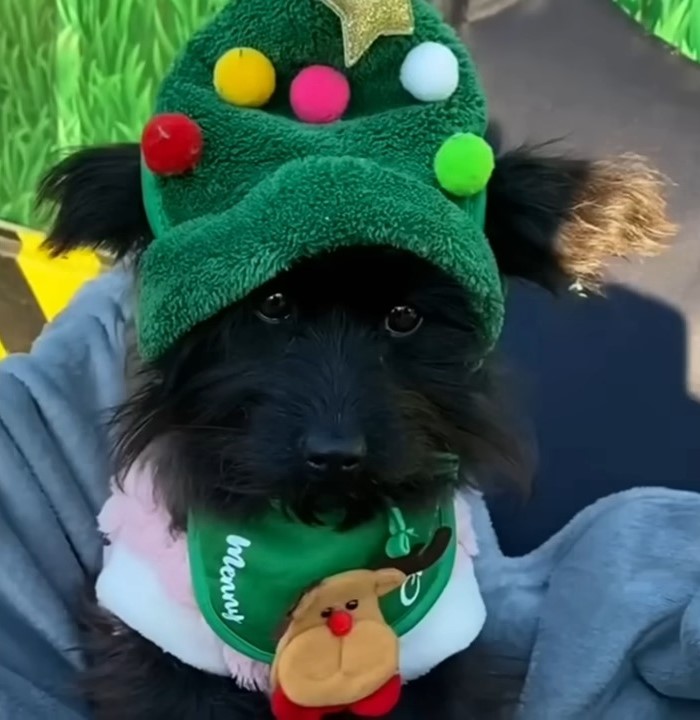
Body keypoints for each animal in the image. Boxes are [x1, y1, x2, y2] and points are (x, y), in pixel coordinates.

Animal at [37, 132, 672, 716]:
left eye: (404, 317)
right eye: (272, 303)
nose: (335, 453)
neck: (313, 528)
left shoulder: (441, 652)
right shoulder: (158, 647)